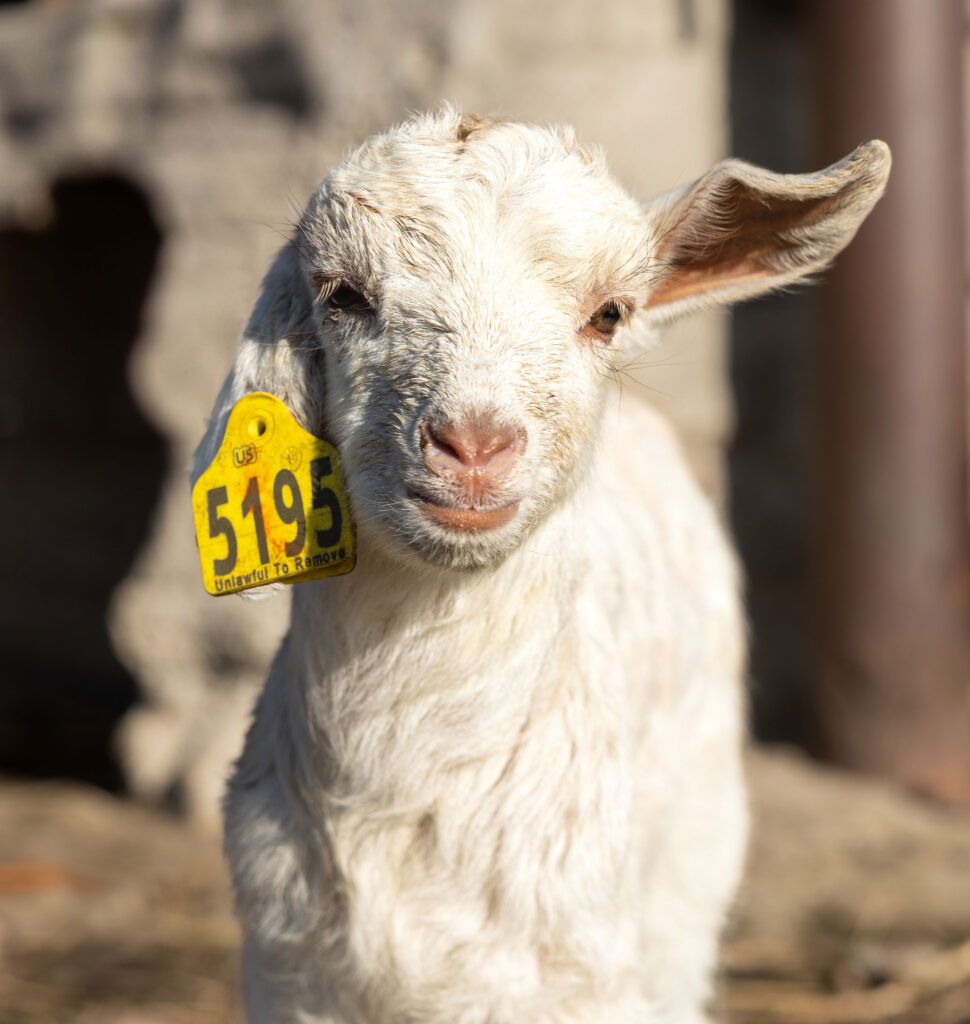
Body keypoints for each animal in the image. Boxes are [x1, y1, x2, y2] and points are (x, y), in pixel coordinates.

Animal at [193, 109, 889, 1023]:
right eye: (342, 295)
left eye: (609, 313)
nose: (474, 443)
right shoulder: (290, 973)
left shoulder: (579, 976)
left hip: (692, 855)